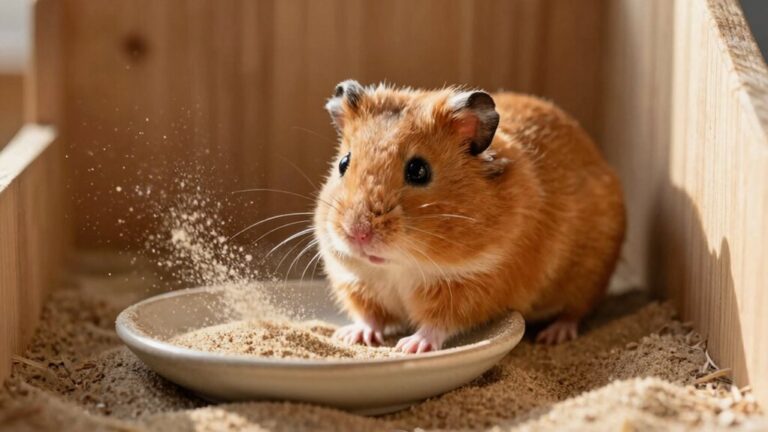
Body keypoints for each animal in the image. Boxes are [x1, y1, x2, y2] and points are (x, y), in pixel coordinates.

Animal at [313, 80, 625, 352]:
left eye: (418, 170)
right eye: (343, 163)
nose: (358, 234)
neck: (402, 265)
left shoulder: (473, 285)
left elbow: (439, 323)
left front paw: (411, 346)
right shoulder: (357, 281)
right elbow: (370, 316)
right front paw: (351, 336)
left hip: (588, 277)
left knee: (575, 311)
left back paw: (553, 336)